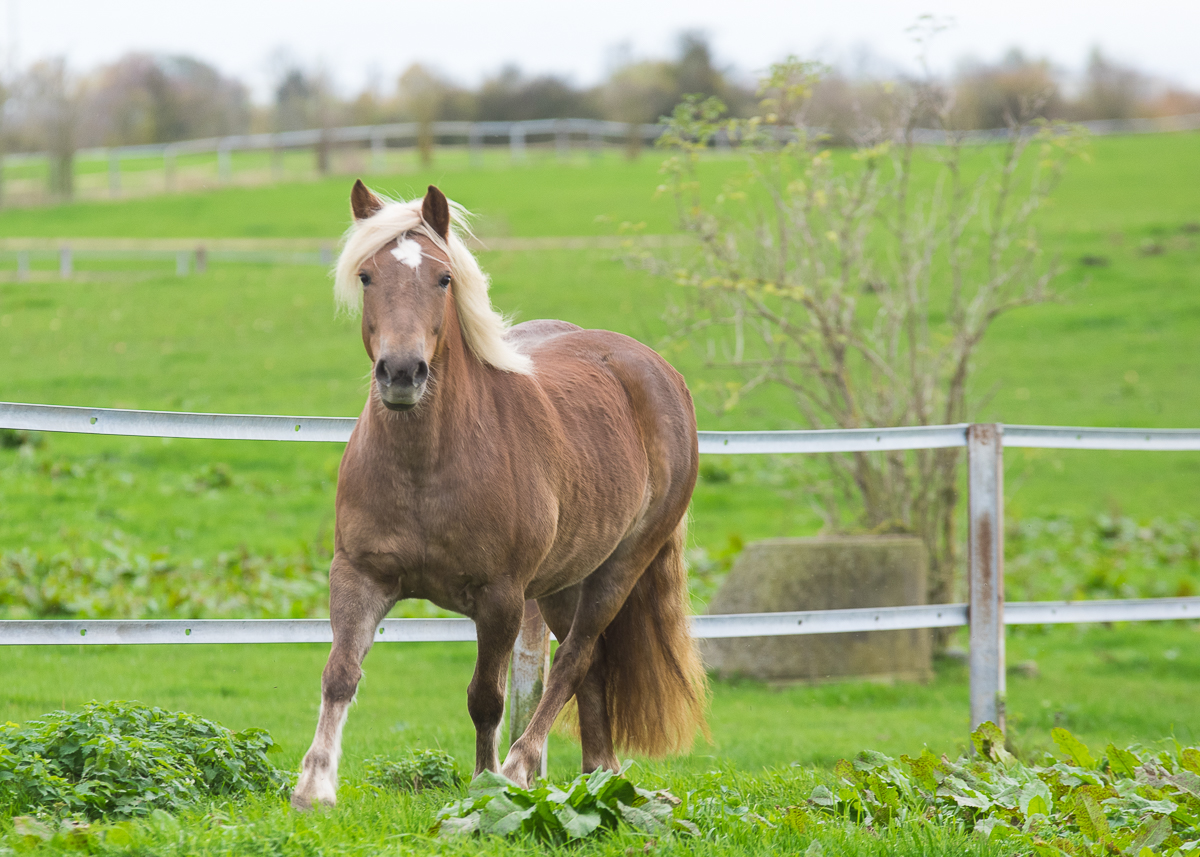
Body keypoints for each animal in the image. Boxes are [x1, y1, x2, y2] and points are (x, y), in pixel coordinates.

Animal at [288, 182, 700, 806]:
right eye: (366, 275)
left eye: (443, 278)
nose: (402, 372)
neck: (427, 467)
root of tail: (657, 371)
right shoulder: (359, 575)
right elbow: (340, 674)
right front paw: (314, 787)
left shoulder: (501, 598)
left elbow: (487, 697)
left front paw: (487, 786)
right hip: (563, 580)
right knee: (591, 666)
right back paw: (598, 774)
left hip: (620, 566)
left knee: (574, 659)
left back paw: (522, 766)